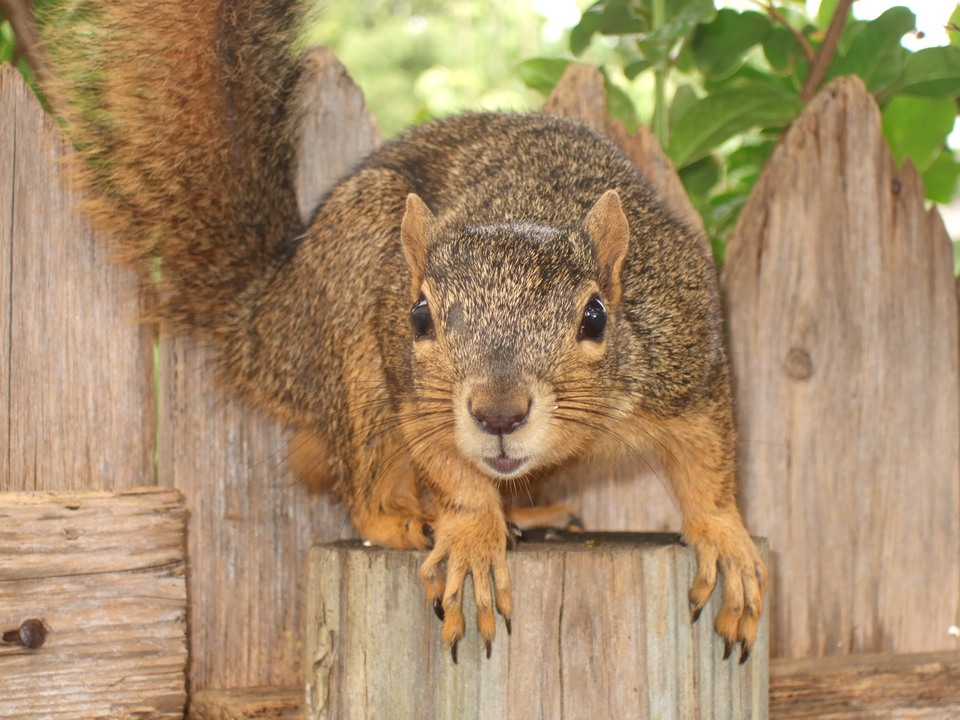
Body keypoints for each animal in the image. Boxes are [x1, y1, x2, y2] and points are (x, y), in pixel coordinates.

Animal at [39, 0, 764, 664]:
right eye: (419, 315)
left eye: (595, 317)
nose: (498, 415)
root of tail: (263, 326)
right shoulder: (410, 383)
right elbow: (446, 465)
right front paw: (470, 536)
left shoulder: (687, 351)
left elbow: (710, 460)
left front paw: (725, 539)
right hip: (355, 301)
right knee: (361, 486)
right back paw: (408, 518)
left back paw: (524, 513)